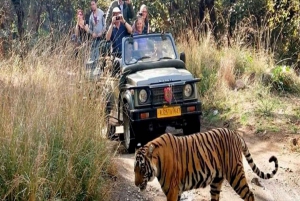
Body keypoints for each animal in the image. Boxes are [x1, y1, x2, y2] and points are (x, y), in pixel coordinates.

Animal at [134, 128, 278, 200]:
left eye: (142, 169)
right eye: (134, 170)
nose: (135, 184)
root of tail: (235, 134)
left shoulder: (172, 191)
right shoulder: (177, 191)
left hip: (235, 174)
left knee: (249, 195)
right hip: (216, 181)